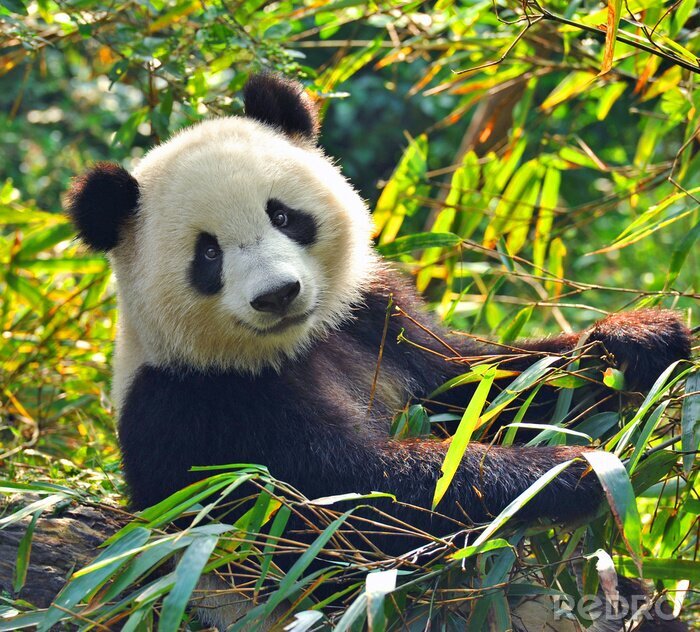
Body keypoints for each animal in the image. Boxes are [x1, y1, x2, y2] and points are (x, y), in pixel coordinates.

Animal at [66, 73, 691, 627]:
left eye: (282, 215)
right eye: (209, 254)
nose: (277, 294)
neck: (291, 345)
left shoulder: (374, 319)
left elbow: (483, 388)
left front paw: (637, 341)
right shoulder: (200, 409)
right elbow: (344, 504)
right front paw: (568, 471)